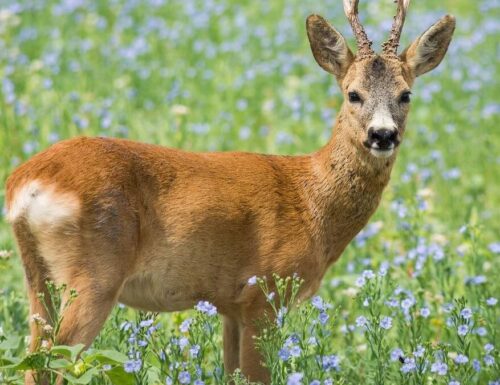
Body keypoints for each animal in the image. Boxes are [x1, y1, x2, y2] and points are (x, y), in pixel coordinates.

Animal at [5, 1, 456, 382]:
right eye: (353, 94)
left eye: (405, 94)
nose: (383, 135)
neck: (311, 201)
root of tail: (26, 183)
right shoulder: (264, 293)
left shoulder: (230, 306)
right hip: (95, 272)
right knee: (55, 362)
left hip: (38, 276)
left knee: (33, 358)